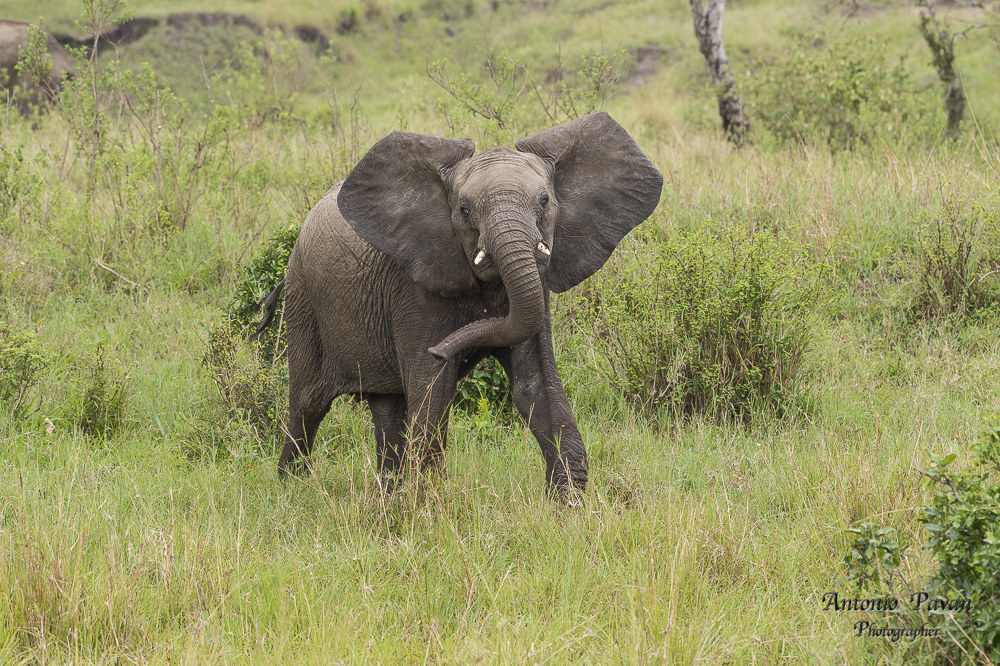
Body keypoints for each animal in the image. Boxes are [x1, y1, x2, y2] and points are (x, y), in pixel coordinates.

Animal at [257, 112, 662, 498]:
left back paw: (386, 495)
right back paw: (294, 490)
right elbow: (433, 389)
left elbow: (535, 385)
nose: (443, 349)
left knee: (387, 407)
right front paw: (429, 506)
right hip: (303, 299)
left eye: (545, 201)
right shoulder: (414, 286)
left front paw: (568, 506)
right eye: (464, 210)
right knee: (307, 405)